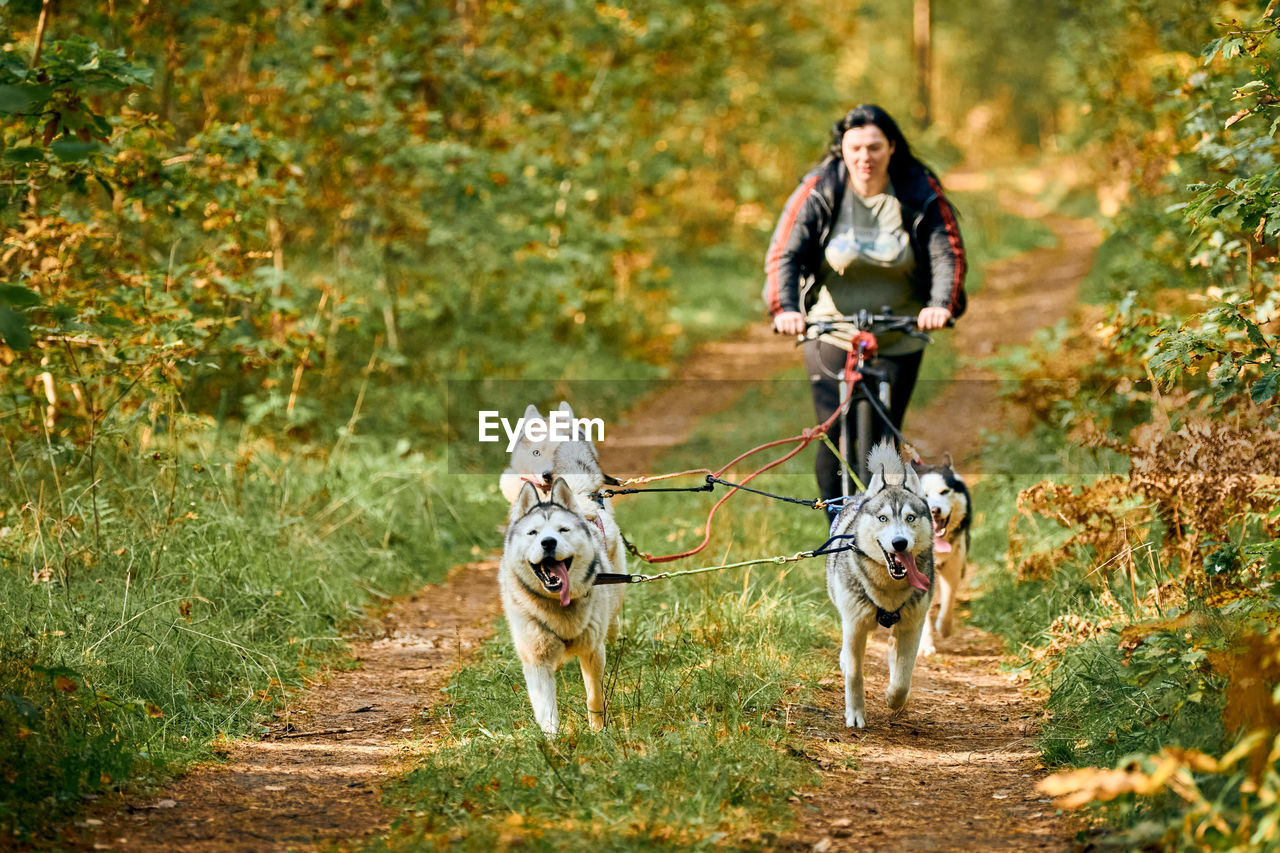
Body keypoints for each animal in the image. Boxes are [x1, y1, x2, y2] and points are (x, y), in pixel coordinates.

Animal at [499, 479, 624, 732]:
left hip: (617, 585)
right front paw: (553, 740)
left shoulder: (592, 651)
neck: (558, 604)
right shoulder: (536, 658)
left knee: (613, 613)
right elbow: (546, 710)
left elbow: (595, 696)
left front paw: (598, 730)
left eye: (563, 530)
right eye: (533, 532)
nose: (548, 542)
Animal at [824, 440, 936, 727]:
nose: (899, 543)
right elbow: (854, 673)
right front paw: (855, 713)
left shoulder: (911, 627)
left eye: (910, 518)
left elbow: (903, 679)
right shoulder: (855, 625)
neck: (889, 589)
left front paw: (893, 700)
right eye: (883, 518)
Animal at [916, 455, 972, 653]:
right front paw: (925, 644)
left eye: (944, 492)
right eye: (923, 494)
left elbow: (948, 603)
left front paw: (945, 628)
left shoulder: (952, 567)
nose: (935, 510)